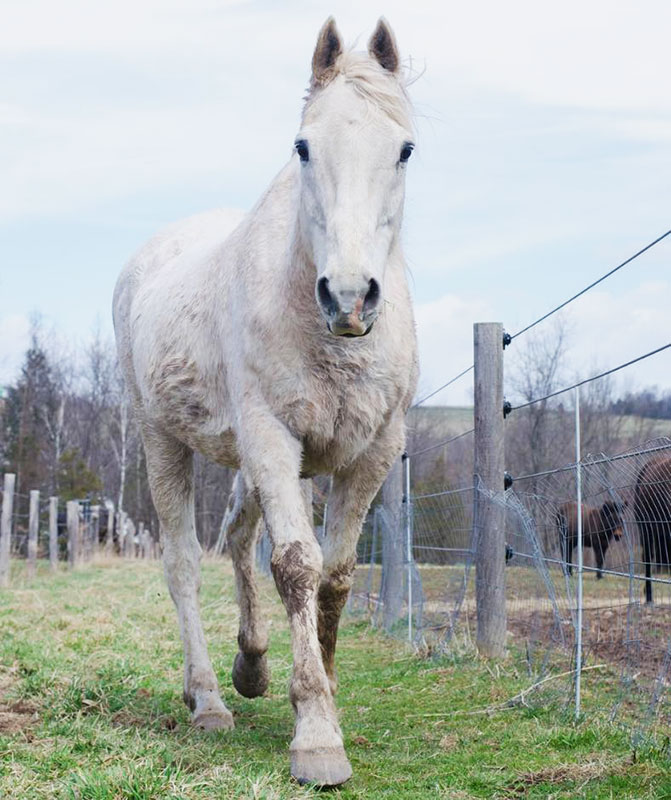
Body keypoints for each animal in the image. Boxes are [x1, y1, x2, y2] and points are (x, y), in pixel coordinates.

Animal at [116, 18, 420, 788]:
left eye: (403, 149)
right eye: (303, 145)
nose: (349, 296)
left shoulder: (372, 450)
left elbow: (335, 574)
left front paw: (324, 691)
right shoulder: (272, 437)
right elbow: (295, 565)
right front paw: (316, 735)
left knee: (234, 536)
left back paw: (250, 667)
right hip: (164, 439)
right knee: (186, 562)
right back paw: (207, 699)